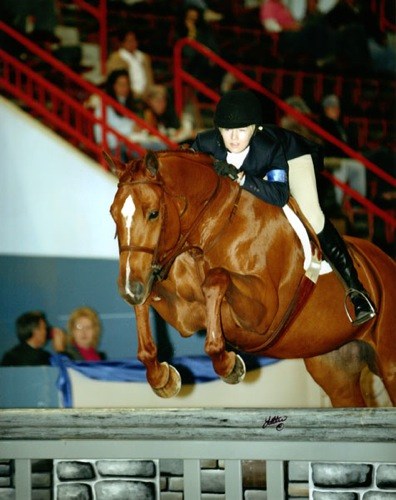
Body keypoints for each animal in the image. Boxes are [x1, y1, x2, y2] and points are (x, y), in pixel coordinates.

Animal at [108, 148, 396, 406]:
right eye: (113, 214)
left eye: (153, 213)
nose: (129, 288)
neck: (215, 227)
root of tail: (384, 258)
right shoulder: (185, 316)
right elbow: (148, 304)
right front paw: (162, 377)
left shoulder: (263, 315)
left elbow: (216, 279)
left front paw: (229, 364)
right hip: (335, 369)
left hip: (388, 365)